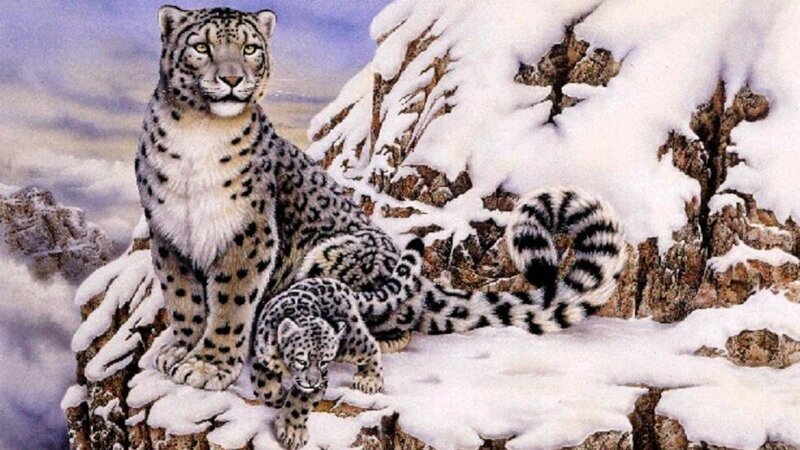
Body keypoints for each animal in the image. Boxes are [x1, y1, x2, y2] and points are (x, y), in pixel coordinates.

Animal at [136, 5, 627, 392]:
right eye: (201, 47)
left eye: (251, 48)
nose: (232, 78)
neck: (198, 136)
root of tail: (423, 286)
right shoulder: (168, 232)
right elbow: (183, 298)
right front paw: (180, 350)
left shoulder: (248, 234)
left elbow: (230, 302)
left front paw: (208, 366)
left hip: (334, 256)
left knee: (393, 324)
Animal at [249, 238, 424, 450]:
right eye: (302, 360)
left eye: (324, 362)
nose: (313, 381)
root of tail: (340, 285)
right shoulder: (262, 352)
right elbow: (260, 380)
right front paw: (275, 394)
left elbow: (300, 402)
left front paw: (292, 431)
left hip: (351, 341)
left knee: (371, 346)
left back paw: (368, 379)